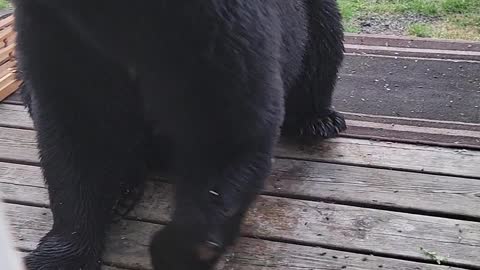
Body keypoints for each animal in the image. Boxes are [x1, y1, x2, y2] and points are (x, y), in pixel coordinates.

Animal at [13, 1, 346, 268]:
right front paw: (60, 255)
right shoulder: (57, 31)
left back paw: (318, 119)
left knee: (324, 40)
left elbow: (230, 126)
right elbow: (76, 135)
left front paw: (182, 248)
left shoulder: (215, 27)